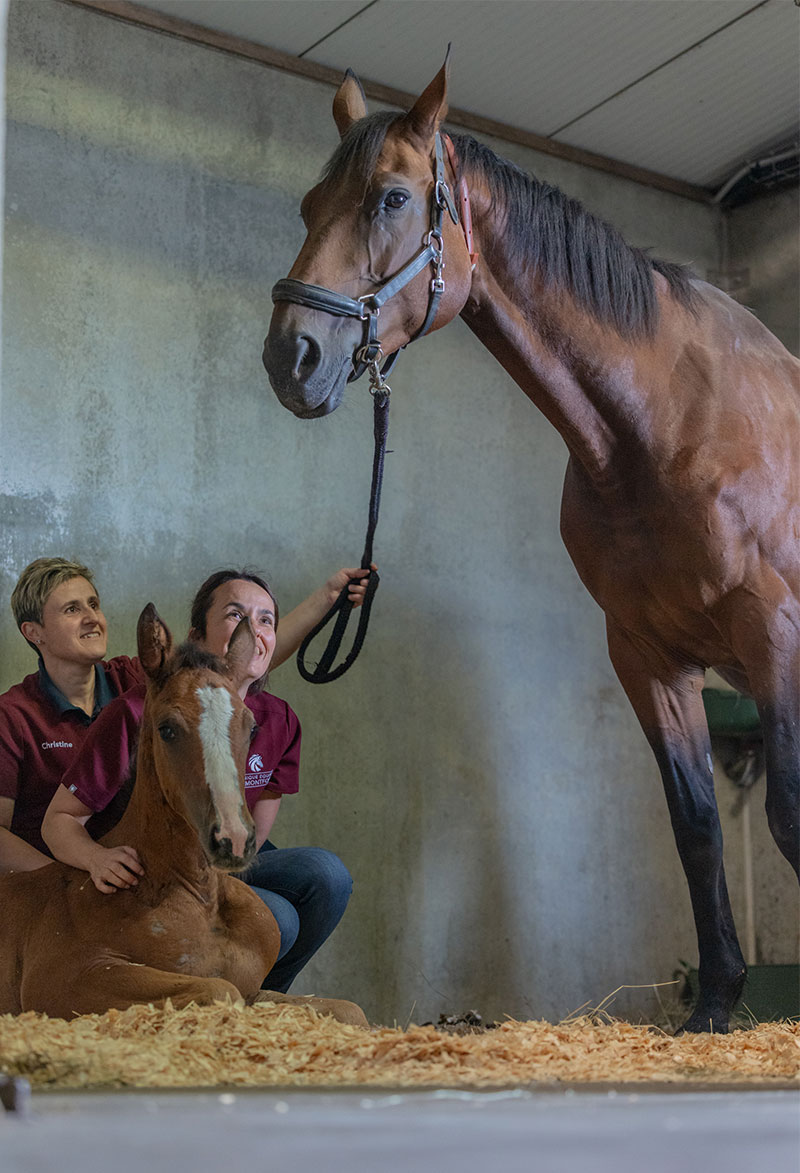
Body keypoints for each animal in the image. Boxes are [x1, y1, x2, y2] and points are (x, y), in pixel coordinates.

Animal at [0, 605, 366, 1025]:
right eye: (167, 729)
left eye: (251, 726)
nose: (233, 839)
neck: (199, 896)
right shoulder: (66, 980)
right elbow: (220, 990)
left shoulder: (256, 990)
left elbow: (350, 1009)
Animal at [263, 59, 800, 1033]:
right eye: (309, 203)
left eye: (392, 197)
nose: (293, 357)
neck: (665, 424)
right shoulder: (647, 656)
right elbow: (697, 826)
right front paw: (713, 1005)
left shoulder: (771, 631)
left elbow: (784, 814)